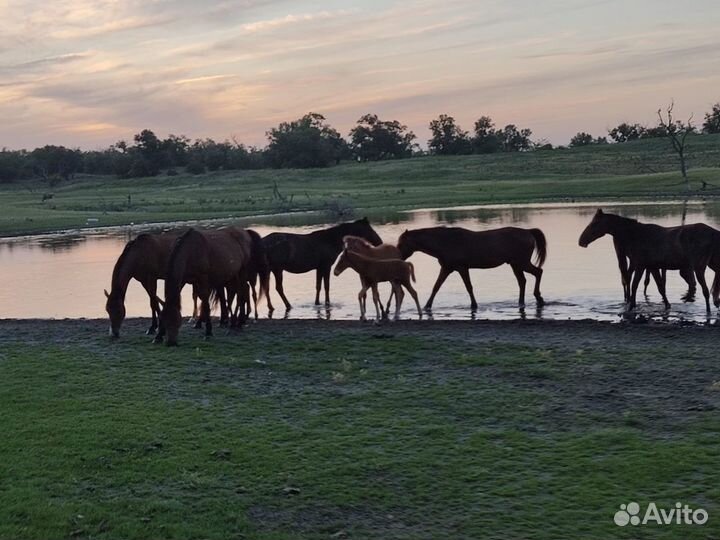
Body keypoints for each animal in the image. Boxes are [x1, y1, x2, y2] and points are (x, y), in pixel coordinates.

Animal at [394, 226, 544, 310]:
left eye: (401, 243)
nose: (397, 257)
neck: (445, 242)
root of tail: (528, 232)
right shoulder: (447, 269)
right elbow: (436, 287)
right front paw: (427, 306)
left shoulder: (462, 268)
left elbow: (469, 287)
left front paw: (474, 305)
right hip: (515, 264)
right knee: (522, 281)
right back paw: (521, 302)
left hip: (522, 263)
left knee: (538, 272)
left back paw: (539, 298)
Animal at [580, 211, 708, 312]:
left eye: (595, 223)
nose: (581, 241)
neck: (634, 236)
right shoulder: (651, 266)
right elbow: (659, 287)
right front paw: (667, 305)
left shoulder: (642, 265)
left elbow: (636, 285)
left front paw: (631, 306)